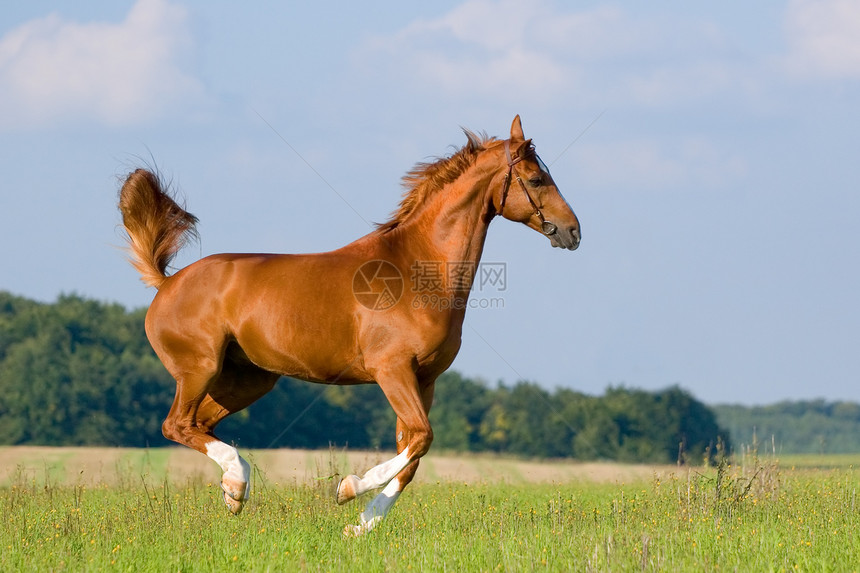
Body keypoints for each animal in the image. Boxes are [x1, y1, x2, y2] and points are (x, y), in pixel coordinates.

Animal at [117, 115, 580, 536]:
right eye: (537, 178)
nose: (573, 232)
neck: (417, 269)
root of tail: (167, 282)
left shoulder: (424, 380)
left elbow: (412, 456)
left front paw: (360, 526)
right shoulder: (392, 371)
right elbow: (421, 439)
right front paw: (347, 490)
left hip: (249, 380)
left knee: (200, 425)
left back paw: (234, 492)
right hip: (200, 369)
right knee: (177, 424)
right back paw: (238, 481)